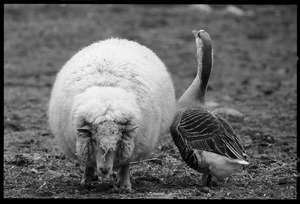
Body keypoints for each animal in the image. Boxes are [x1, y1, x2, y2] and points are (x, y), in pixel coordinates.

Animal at [48, 37, 177, 191]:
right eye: (94, 141)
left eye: (118, 142)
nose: (104, 170)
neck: (107, 99)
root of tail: (118, 39)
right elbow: (88, 162)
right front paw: (86, 181)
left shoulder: (131, 145)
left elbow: (126, 164)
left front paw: (125, 185)